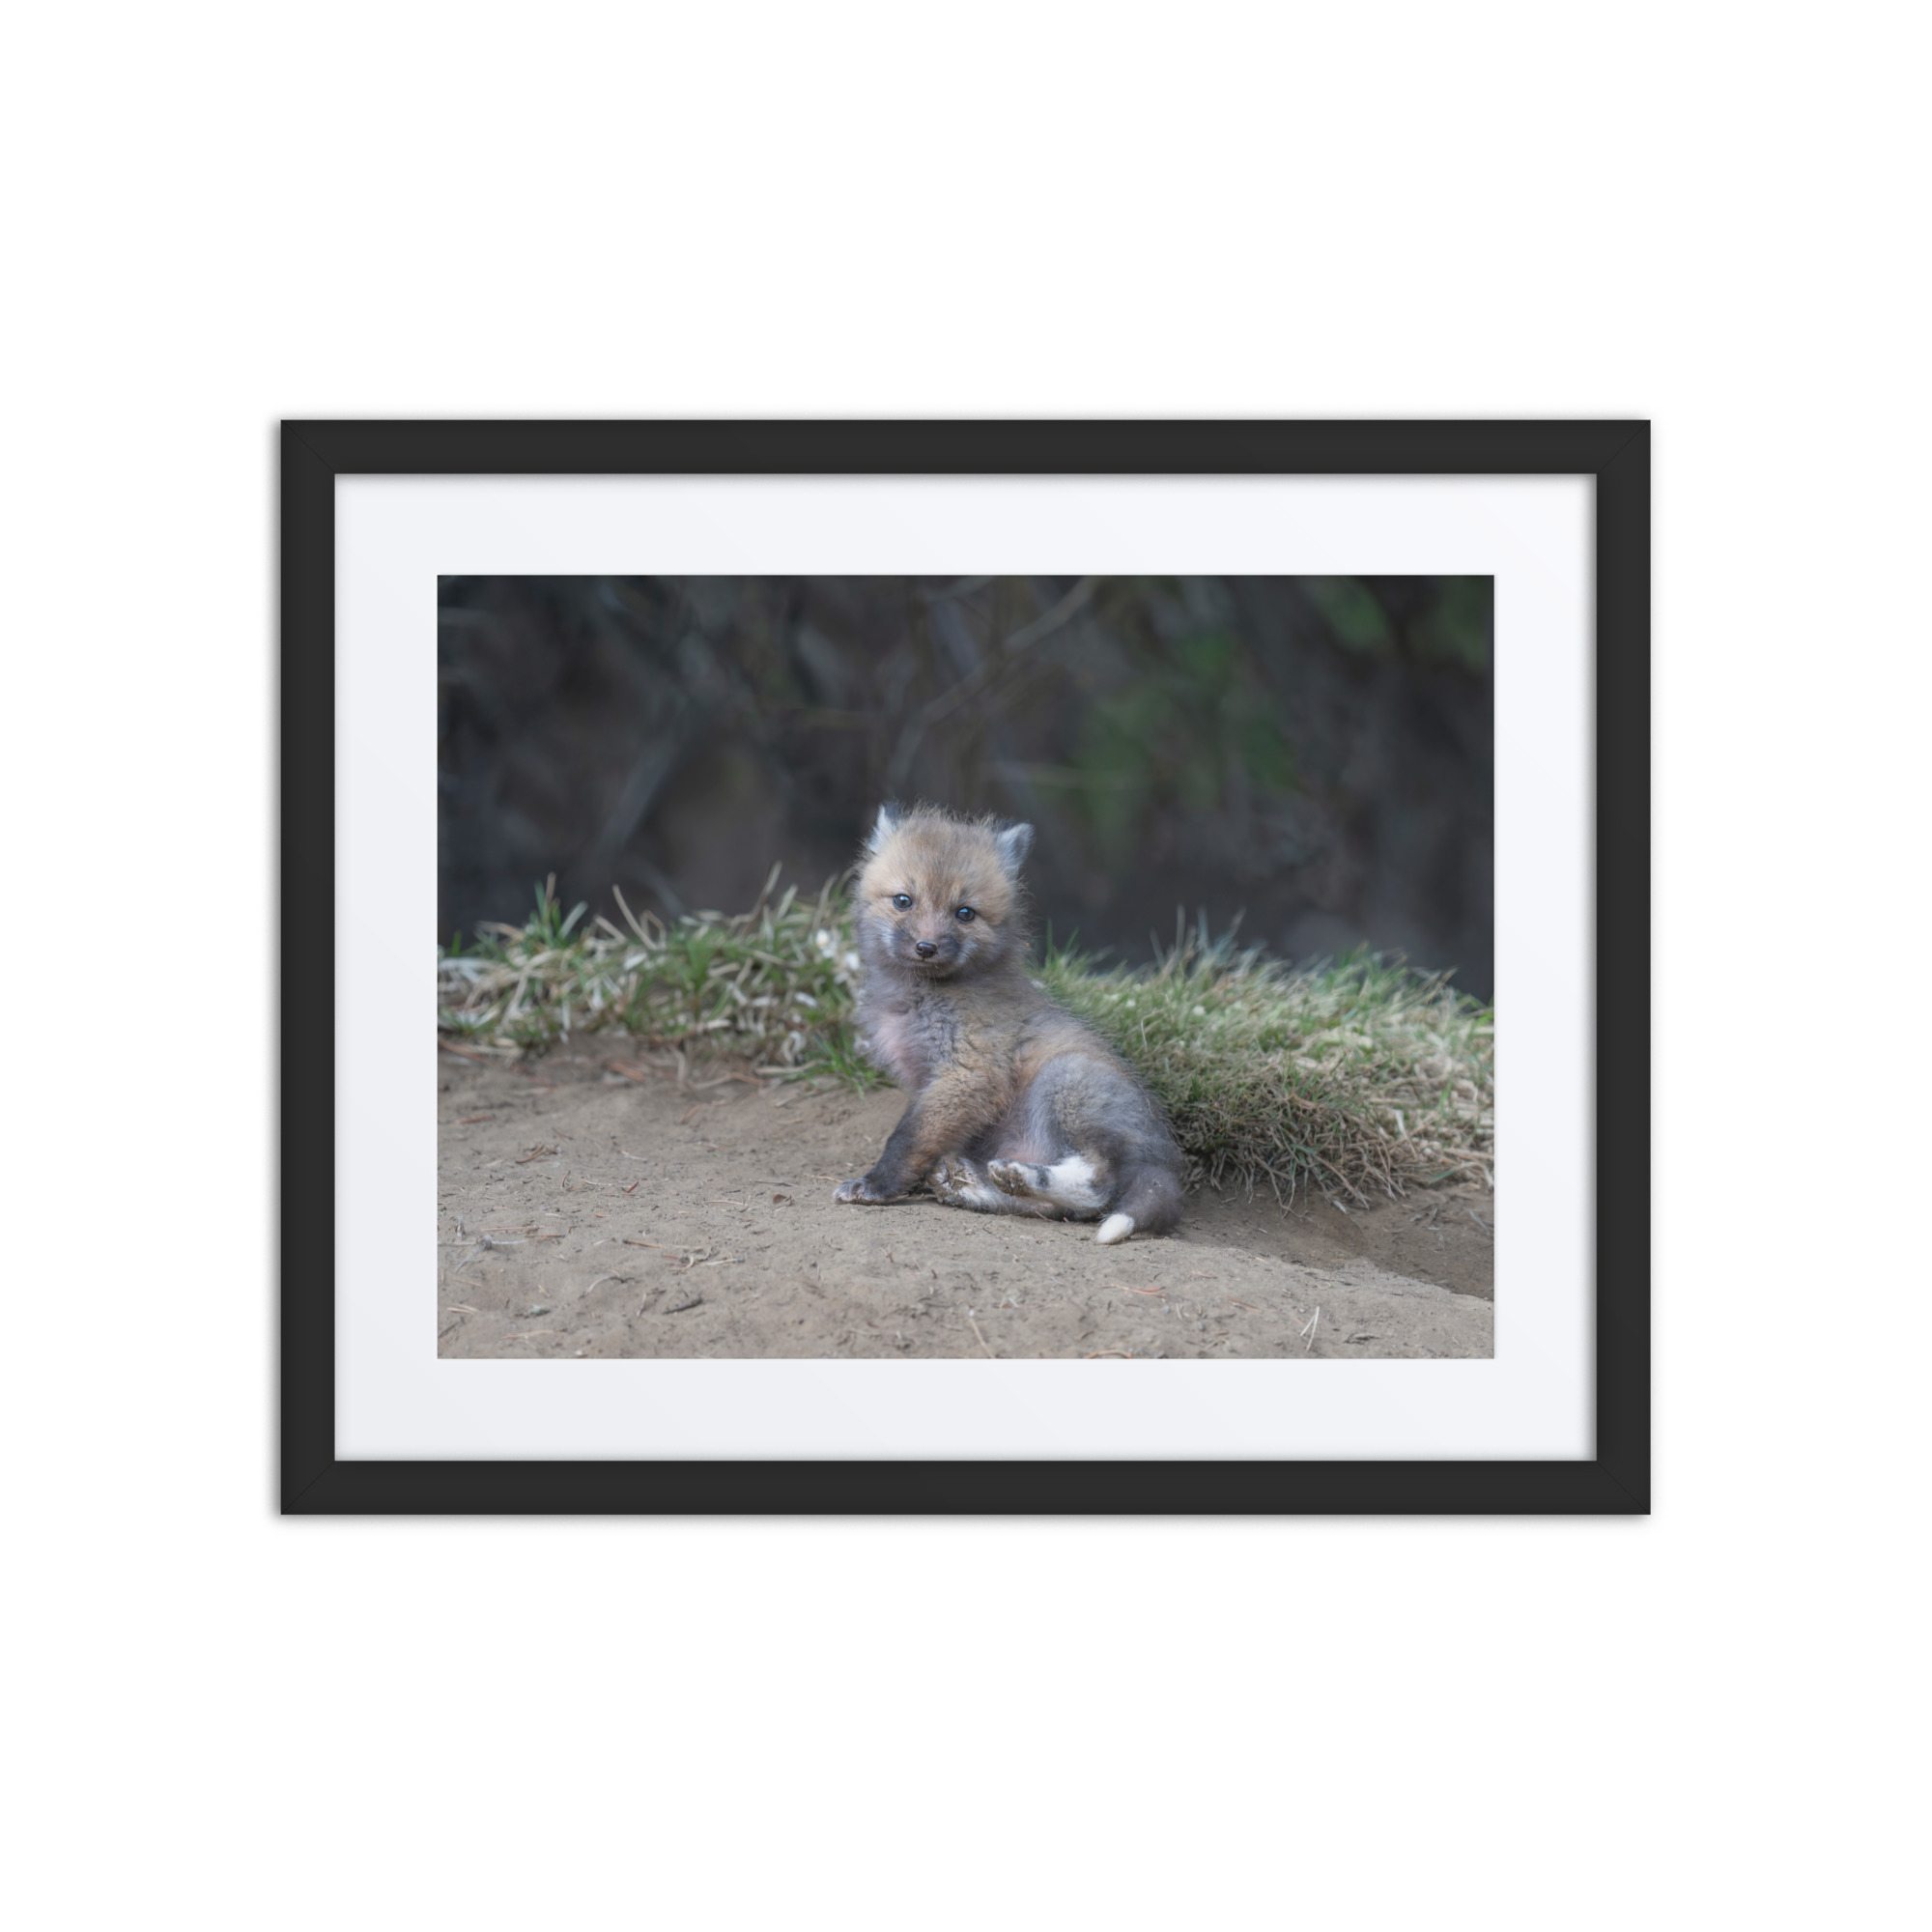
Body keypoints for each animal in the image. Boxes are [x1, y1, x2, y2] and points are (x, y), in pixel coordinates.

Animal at [832, 803, 1185, 1244]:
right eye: (903, 901)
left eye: (965, 913)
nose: (926, 947)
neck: (920, 998)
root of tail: (1164, 1159)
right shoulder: (931, 1082)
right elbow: (922, 1137)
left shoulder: (969, 1072)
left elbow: (907, 1138)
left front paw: (876, 1185)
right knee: (1059, 1209)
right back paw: (974, 1185)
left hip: (1065, 1081)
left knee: (1098, 1187)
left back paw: (1018, 1176)